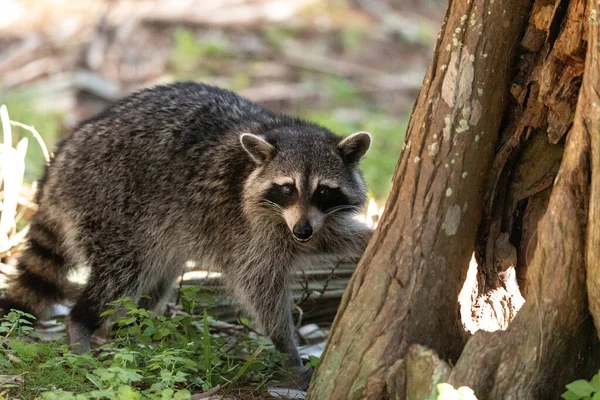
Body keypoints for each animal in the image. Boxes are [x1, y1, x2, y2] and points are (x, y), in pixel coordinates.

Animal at [0, 81, 372, 368]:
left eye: (323, 191)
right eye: (287, 188)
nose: (302, 231)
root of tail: (58, 165)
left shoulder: (306, 219)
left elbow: (327, 236)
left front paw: (364, 239)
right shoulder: (249, 227)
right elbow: (257, 286)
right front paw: (286, 347)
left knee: (154, 282)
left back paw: (130, 335)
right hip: (107, 205)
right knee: (121, 275)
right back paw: (82, 323)